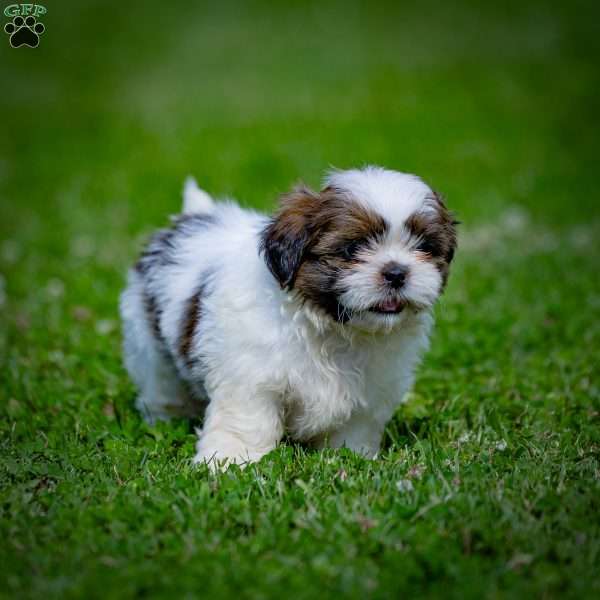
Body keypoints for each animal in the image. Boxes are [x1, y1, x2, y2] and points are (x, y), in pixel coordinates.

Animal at [122, 168, 460, 468]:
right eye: (352, 248)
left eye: (424, 246)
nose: (396, 272)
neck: (334, 329)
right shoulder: (250, 376)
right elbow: (248, 418)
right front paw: (230, 460)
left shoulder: (371, 389)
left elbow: (355, 427)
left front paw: (353, 458)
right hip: (148, 344)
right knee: (161, 384)